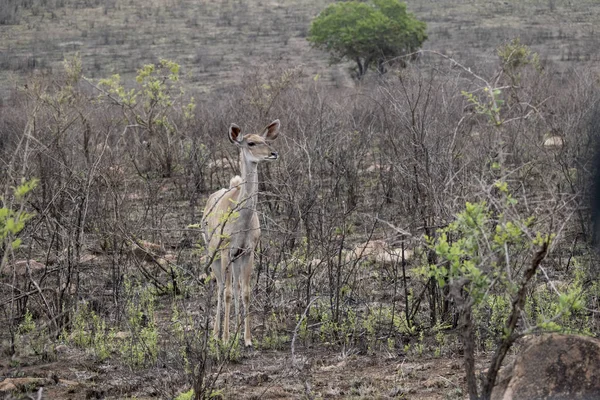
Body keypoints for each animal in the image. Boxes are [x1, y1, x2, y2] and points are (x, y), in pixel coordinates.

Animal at [199, 119, 278, 346]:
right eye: (250, 143)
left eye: (266, 140)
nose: (273, 153)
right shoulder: (226, 250)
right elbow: (225, 292)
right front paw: (226, 338)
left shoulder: (247, 251)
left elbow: (245, 291)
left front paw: (247, 339)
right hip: (214, 254)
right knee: (219, 287)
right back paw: (216, 334)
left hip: (234, 259)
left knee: (234, 287)